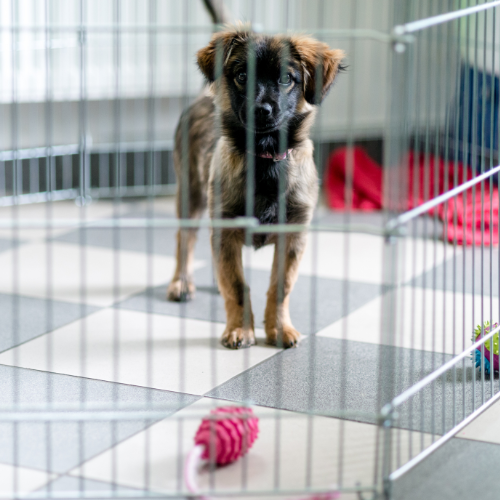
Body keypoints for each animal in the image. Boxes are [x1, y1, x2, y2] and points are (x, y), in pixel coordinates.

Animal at [167, 25, 344, 350]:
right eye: (242, 76)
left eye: (286, 78)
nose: (261, 110)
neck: (265, 158)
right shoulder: (225, 229)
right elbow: (237, 286)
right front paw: (240, 330)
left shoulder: (293, 236)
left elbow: (281, 286)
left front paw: (280, 329)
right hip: (191, 193)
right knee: (185, 239)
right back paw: (181, 283)